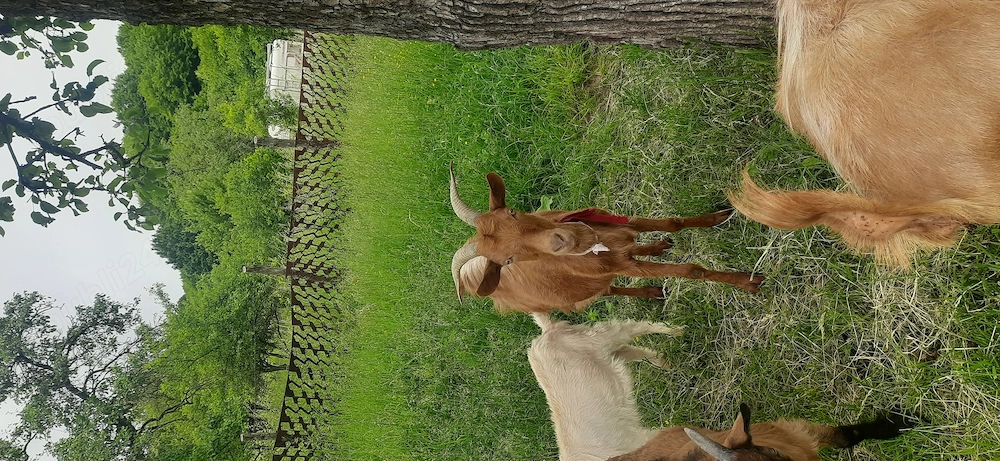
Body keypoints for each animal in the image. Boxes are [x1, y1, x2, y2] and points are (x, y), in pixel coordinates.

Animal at [450, 164, 764, 313]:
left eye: (513, 212)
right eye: (508, 260)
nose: (561, 241)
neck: (599, 242)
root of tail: (469, 278)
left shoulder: (621, 223)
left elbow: (672, 224)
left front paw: (718, 216)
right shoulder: (626, 266)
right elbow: (691, 271)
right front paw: (747, 282)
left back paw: (657, 247)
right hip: (567, 301)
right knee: (608, 291)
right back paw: (651, 292)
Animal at [527, 312, 684, 461]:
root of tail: (547, 330)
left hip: (599, 337)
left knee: (635, 327)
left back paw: (677, 331)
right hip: (608, 354)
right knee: (631, 350)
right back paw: (670, 364)